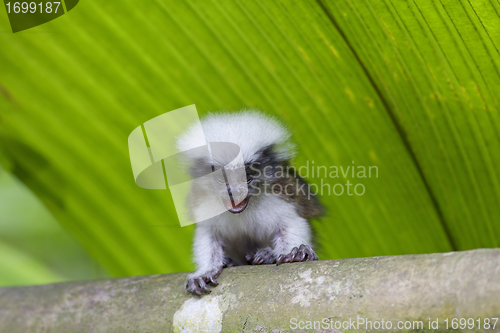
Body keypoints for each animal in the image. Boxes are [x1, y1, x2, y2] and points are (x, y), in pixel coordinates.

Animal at [176, 110, 324, 294]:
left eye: (246, 177)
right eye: (222, 179)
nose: (235, 192)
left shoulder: (283, 193)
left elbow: (292, 222)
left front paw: (295, 254)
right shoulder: (203, 201)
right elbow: (207, 233)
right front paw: (206, 271)